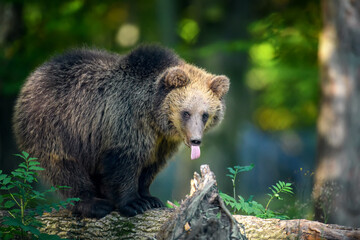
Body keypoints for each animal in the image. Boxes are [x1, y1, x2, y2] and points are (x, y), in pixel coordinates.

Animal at [13, 44, 231, 218]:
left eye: (205, 114)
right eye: (186, 112)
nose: (195, 140)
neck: (153, 116)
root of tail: (34, 76)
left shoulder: (161, 142)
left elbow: (150, 167)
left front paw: (150, 198)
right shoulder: (124, 122)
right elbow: (124, 164)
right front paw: (134, 203)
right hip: (56, 128)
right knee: (65, 167)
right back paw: (94, 204)